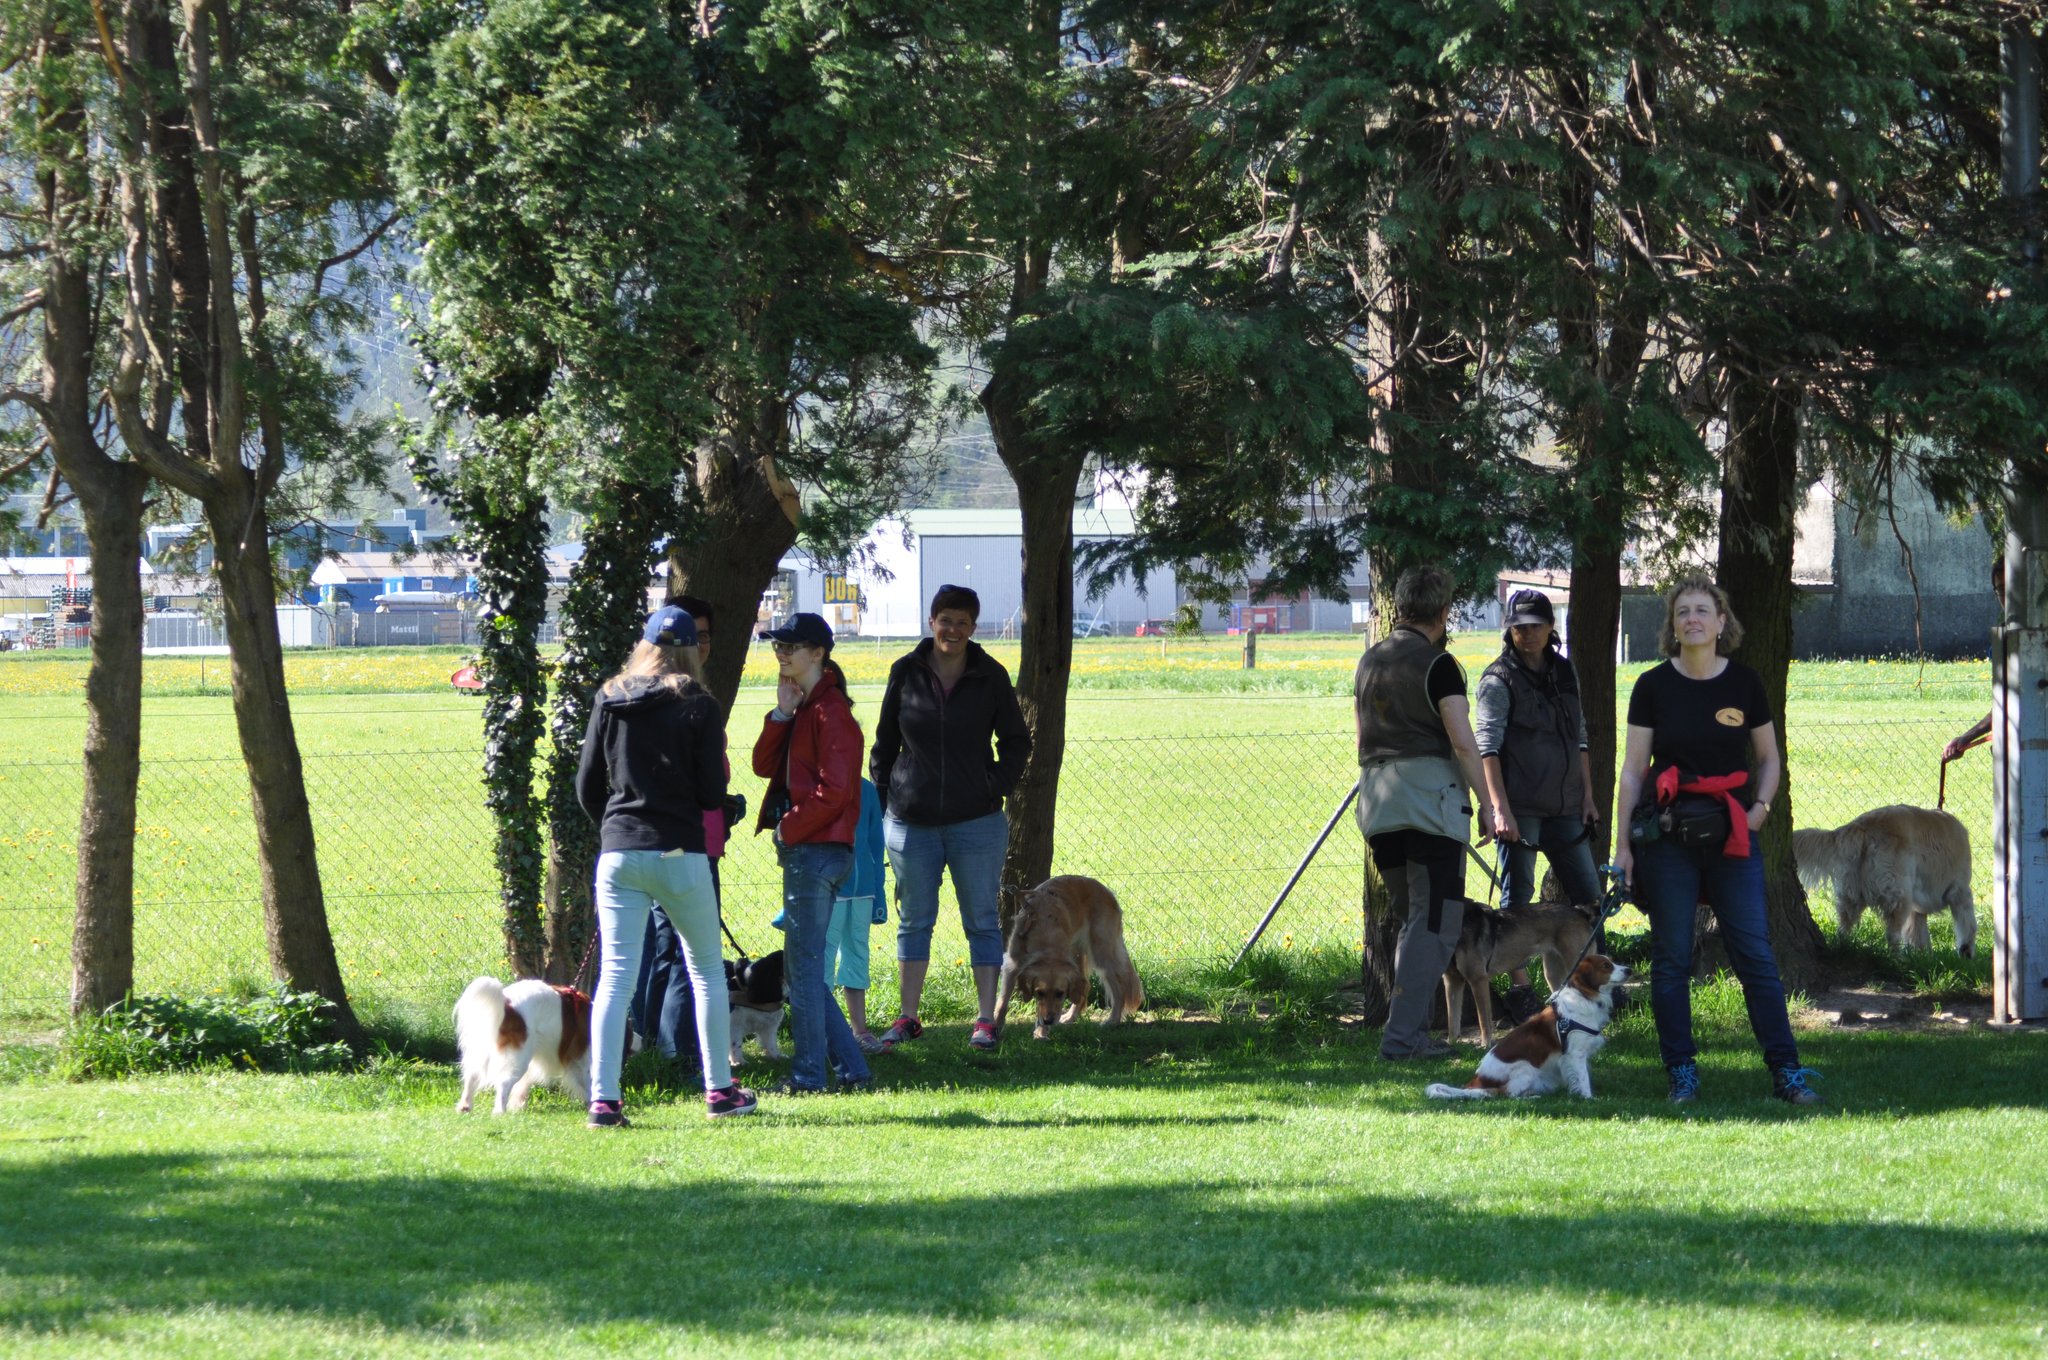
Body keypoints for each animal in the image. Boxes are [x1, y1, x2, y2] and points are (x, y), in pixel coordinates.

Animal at [455, 977, 593, 1114]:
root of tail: (507, 1003)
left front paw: (518, 1105)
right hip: (518, 1056)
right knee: (504, 1082)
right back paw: (499, 1112)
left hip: (484, 1049)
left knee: (472, 1075)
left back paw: (465, 1106)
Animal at [992, 875, 1145, 1040]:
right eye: (1039, 992)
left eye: (1060, 994)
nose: (1048, 1021)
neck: (1045, 932)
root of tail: (1107, 891)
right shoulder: (1012, 965)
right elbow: (1002, 1003)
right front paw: (995, 1028)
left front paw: (1041, 1032)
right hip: (1077, 953)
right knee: (1086, 985)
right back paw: (1071, 1016)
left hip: (1101, 950)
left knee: (1118, 987)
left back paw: (1113, 1020)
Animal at [1427, 955, 1629, 1101]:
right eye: (1606, 966)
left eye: (1611, 962)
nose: (1629, 969)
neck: (1585, 996)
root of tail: (1475, 1084)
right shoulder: (1575, 1054)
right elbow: (1583, 1078)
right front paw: (1589, 1099)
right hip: (1526, 1068)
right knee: (1507, 1094)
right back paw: (1531, 1098)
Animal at [1442, 900, 1599, 1047]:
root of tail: (1580, 911)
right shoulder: (1452, 981)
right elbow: (1452, 1019)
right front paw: (1451, 1044)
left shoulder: (1478, 980)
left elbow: (1483, 1021)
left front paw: (1485, 1045)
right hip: (1552, 973)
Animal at [1792, 804, 1975, 956]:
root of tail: (1860, 826)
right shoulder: (1960, 891)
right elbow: (1969, 925)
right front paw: (1966, 952)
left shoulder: (1917, 908)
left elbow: (1918, 933)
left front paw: (1924, 957)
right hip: (1899, 895)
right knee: (1892, 934)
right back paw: (1898, 960)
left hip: (1851, 894)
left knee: (1844, 927)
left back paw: (1843, 948)